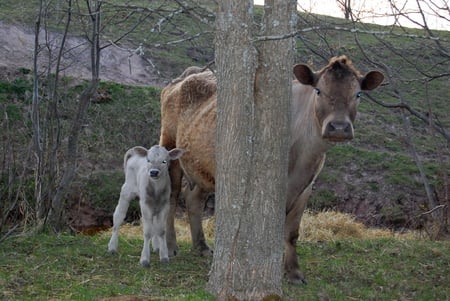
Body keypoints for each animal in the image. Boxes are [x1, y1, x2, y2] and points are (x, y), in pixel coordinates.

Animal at [158, 56, 384, 284]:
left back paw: (202, 247)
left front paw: (294, 272)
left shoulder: (306, 186)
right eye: (319, 91)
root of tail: (187, 75)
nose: (338, 127)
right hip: (169, 147)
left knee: (193, 199)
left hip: (202, 165)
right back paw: (170, 246)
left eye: (358, 94)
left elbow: (292, 233)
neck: (301, 156)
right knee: (172, 196)